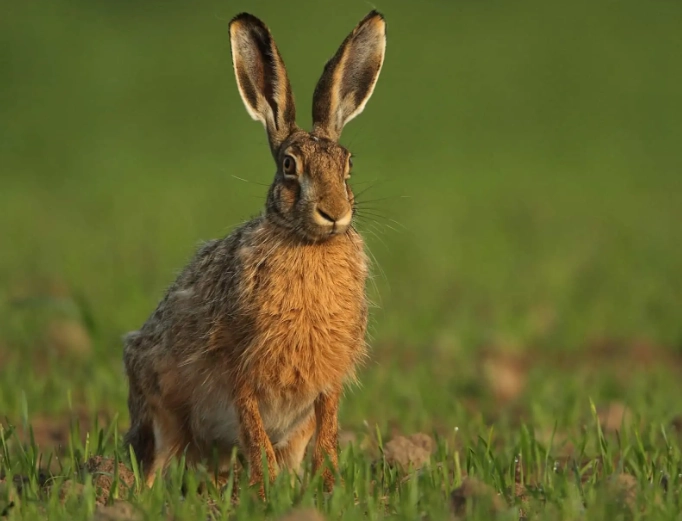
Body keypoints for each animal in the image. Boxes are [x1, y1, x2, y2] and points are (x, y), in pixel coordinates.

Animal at [122, 10, 387, 494]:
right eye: (289, 166)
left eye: (348, 166)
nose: (334, 213)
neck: (308, 243)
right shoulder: (238, 370)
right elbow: (253, 432)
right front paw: (264, 495)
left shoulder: (328, 382)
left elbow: (328, 434)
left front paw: (327, 490)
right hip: (160, 408)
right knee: (157, 458)